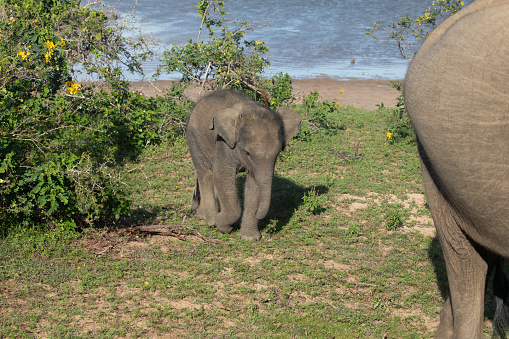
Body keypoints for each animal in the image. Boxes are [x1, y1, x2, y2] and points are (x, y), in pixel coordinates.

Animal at [186, 89, 300, 240]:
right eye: (247, 153)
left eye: (277, 154)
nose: (261, 216)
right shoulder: (223, 143)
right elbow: (222, 177)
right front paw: (222, 226)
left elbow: (254, 184)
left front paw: (250, 238)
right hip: (194, 137)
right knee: (205, 174)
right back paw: (209, 221)